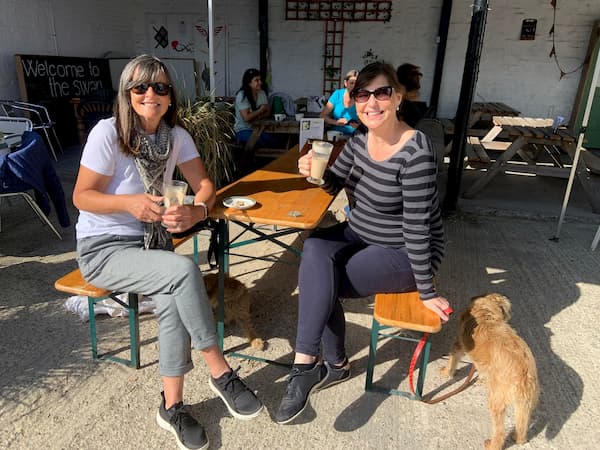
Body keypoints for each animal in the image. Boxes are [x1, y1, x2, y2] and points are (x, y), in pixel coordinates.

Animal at [440, 294, 540, 448]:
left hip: (496, 403)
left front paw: (446, 372)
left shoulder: (458, 344)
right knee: (522, 426)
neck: (486, 314)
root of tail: (524, 376)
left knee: (500, 432)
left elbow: (453, 359)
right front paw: (482, 380)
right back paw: (518, 438)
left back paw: (492, 445)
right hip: (524, 405)